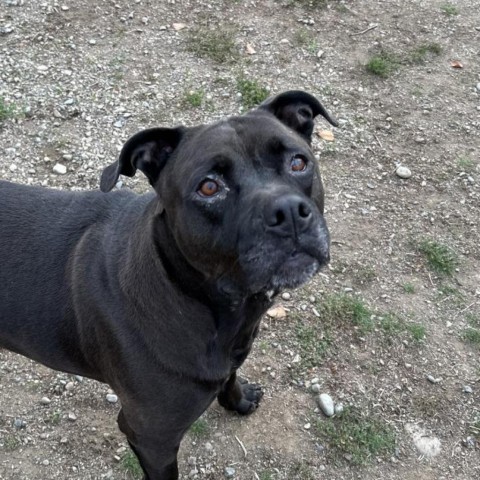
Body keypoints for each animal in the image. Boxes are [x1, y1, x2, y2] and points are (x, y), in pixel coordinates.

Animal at [0, 91, 338, 480]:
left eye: (298, 162)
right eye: (209, 187)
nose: (288, 212)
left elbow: (232, 375)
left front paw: (238, 401)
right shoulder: (152, 437)